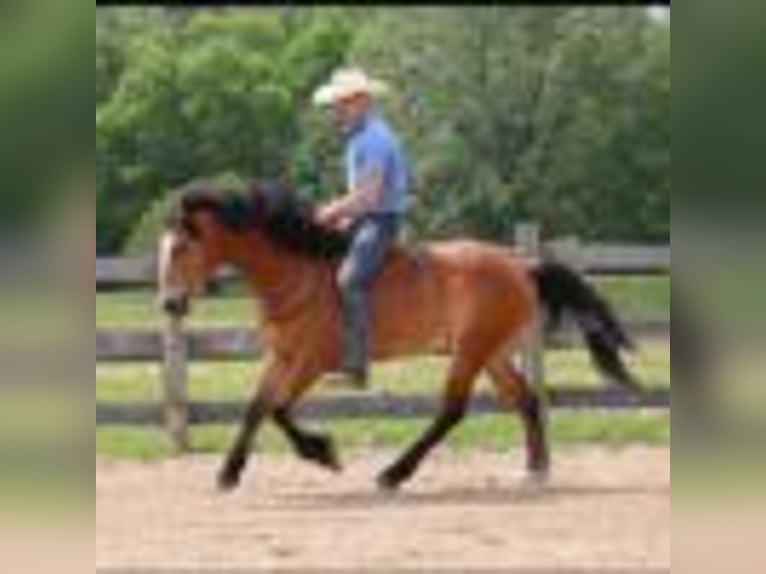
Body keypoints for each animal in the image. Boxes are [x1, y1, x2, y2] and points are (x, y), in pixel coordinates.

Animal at [157, 180, 638, 493]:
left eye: (180, 247)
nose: (170, 304)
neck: (297, 274)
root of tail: (521, 264)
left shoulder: (311, 362)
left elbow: (277, 409)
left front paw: (324, 453)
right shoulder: (282, 356)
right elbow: (256, 409)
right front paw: (228, 474)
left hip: (470, 353)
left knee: (452, 411)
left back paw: (393, 474)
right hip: (491, 353)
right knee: (525, 400)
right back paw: (536, 470)